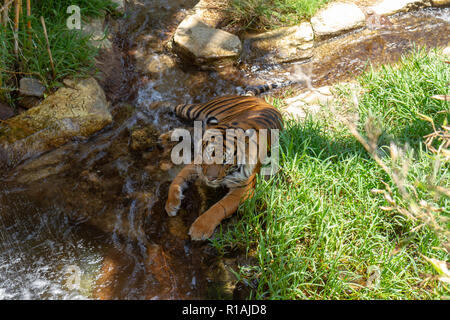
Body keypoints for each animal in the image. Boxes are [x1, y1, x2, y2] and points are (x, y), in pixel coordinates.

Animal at [163, 82, 290, 240]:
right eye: (209, 155)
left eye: (225, 162)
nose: (210, 179)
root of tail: (256, 99)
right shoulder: (195, 166)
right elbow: (176, 181)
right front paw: (171, 204)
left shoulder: (243, 189)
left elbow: (219, 208)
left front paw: (199, 229)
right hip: (195, 110)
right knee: (179, 107)